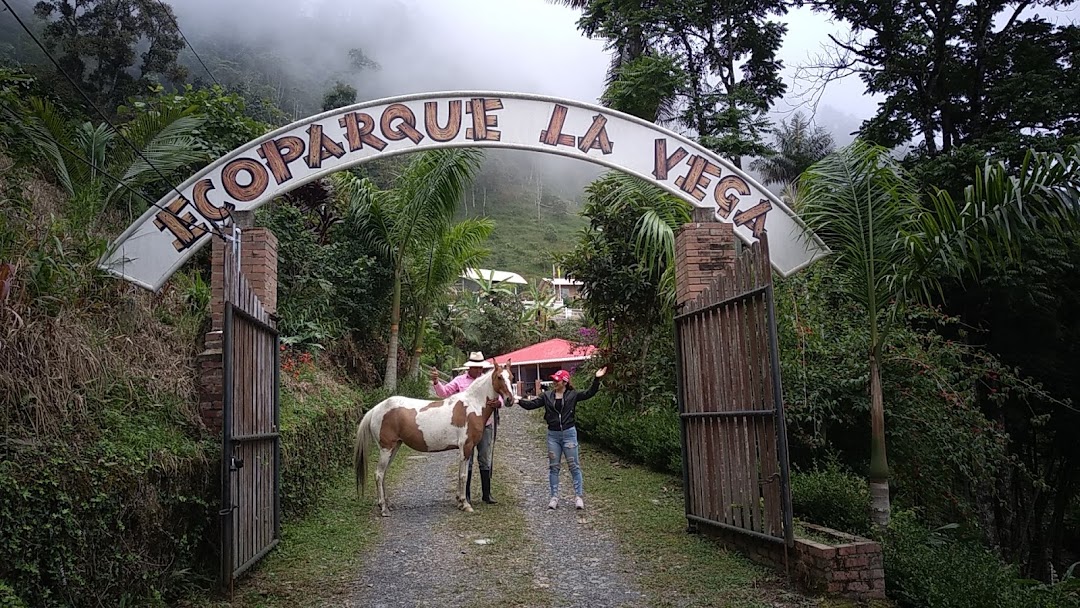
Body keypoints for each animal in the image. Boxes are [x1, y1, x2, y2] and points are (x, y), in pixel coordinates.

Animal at [352, 360, 516, 518]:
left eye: (512, 377)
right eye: (499, 377)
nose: (509, 400)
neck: (473, 406)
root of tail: (376, 409)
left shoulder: (465, 449)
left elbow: (460, 474)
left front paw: (460, 502)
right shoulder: (466, 447)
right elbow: (463, 475)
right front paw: (465, 504)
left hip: (394, 447)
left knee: (383, 473)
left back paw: (387, 504)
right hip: (386, 449)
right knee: (379, 474)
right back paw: (384, 509)